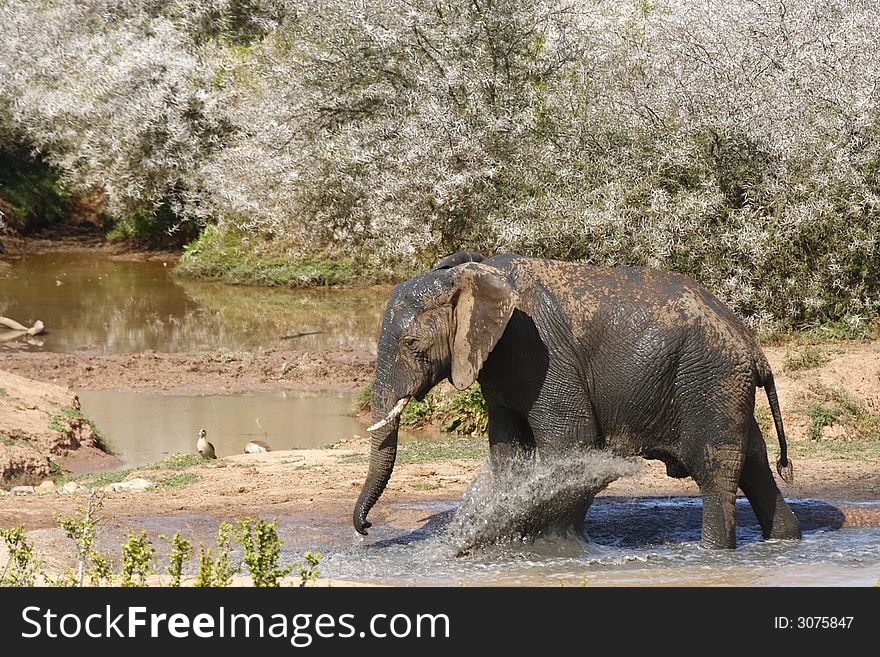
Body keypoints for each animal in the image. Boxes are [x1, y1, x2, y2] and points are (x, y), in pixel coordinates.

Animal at [352, 251, 804, 548]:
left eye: (411, 344)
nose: (366, 528)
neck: (474, 273)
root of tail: (755, 348)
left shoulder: (542, 353)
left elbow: (572, 443)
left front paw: (554, 547)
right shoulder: (503, 367)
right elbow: (507, 451)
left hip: (711, 381)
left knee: (715, 469)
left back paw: (712, 554)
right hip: (725, 387)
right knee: (755, 463)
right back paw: (785, 540)